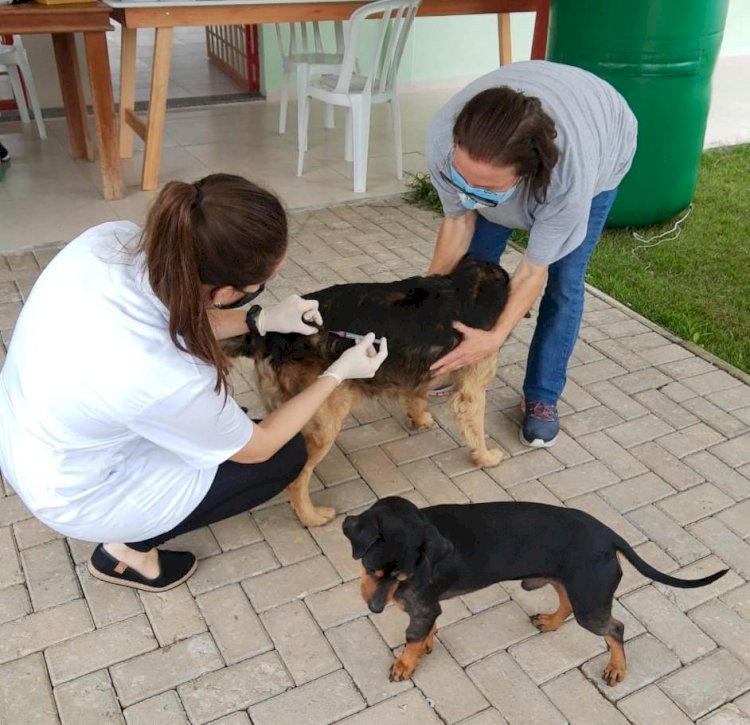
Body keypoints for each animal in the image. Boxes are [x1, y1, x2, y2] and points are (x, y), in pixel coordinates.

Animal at [344, 494, 732, 688]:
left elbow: (412, 637)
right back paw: (551, 621)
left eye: (401, 576)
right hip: (566, 582)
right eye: (370, 569)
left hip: (590, 602)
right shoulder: (428, 606)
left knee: (616, 629)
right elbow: (426, 630)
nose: (375, 609)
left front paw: (404, 665)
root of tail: (610, 537)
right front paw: (427, 644)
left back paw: (616, 668)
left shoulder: (423, 606)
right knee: (567, 605)